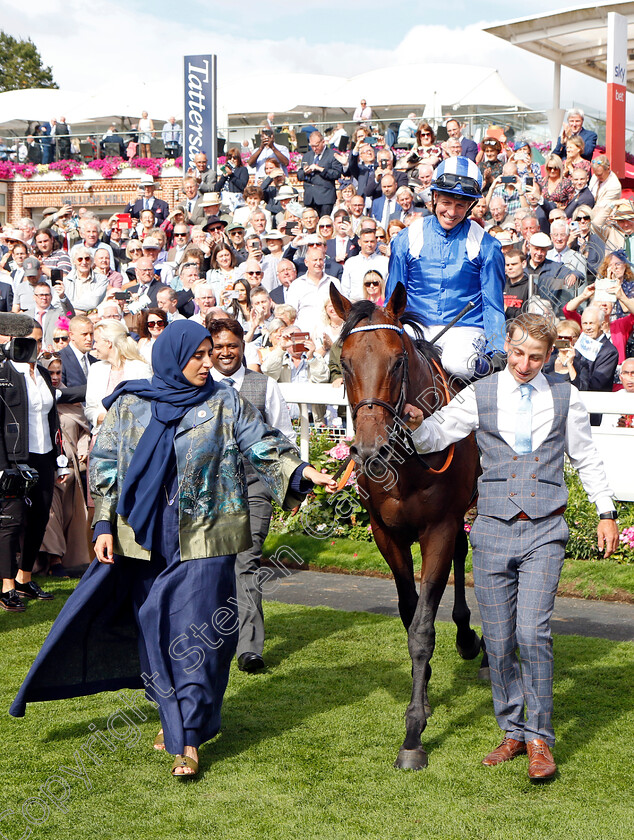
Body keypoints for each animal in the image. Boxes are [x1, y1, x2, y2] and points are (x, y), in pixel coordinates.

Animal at [330, 286, 478, 772]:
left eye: (397, 361)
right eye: (344, 362)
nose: (368, 449)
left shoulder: (439, 527)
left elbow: (423, 629)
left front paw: (413, 735)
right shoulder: (385, 533)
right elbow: (409, 611)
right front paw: (424, 696)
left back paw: (470, 638)